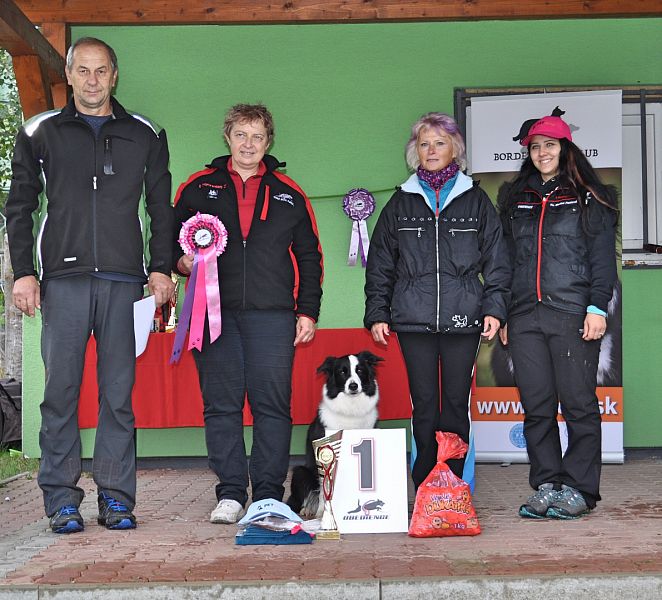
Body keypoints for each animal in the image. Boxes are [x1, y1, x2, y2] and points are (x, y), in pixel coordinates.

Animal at [288, 352, 386, 516]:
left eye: (360, 370)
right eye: (342, 372)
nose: (353, 386)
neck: (350, 410)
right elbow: (324, 489)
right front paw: (323, 512)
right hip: (300, 472)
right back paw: (307, 510)